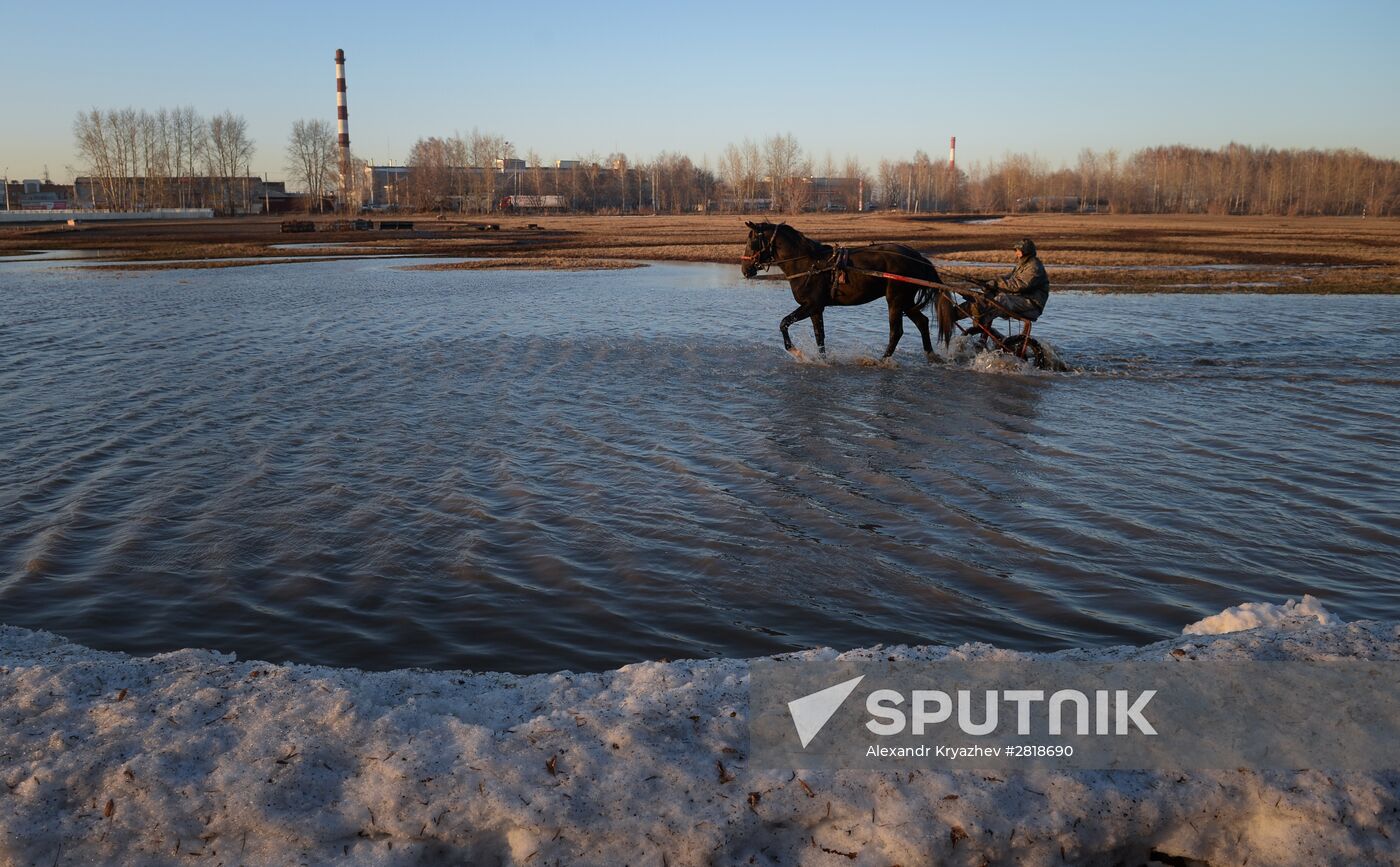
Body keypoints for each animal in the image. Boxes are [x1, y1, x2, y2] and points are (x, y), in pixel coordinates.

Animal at [739, 224, 957, 364]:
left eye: (752, 241)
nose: (745, 269)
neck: (810, 264)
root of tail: (917, 256)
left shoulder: (811, 305)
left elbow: (784, 323)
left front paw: (796, 351)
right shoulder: (816, 309)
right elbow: (820, 336)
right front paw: (823, 360)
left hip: (895, 300)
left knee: (896, 332)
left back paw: (882, 360)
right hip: (906, 301)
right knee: (922, 322)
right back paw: (931, 355)